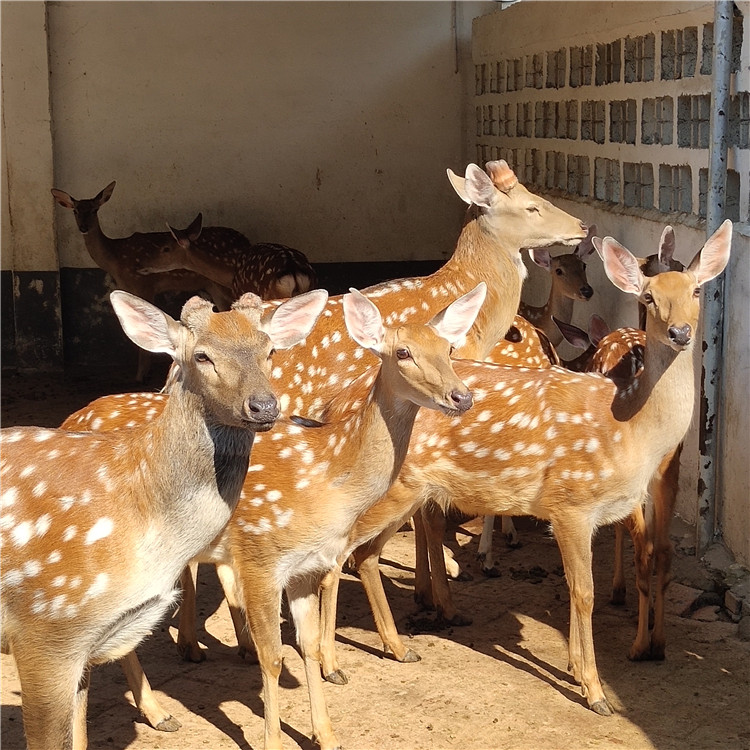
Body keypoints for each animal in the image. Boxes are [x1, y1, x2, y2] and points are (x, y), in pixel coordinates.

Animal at [50, 181, 232, 382]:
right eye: (75, 210)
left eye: (94, 209)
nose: (83, 227)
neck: (115, 259)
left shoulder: (144, 283)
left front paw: (140, 376)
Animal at [58, 284, 488, 748]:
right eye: (403, 352)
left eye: (449, 348)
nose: (462, 396)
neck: (328, 478)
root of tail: (71, 416)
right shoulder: (260, 558)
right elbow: (274, 658)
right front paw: (273, 738)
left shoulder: (305, 567)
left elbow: (309, 645)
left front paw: (327, 734)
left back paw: (159, 711)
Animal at [318, 219, 736, 716]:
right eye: (649, 296)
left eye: (697, 290)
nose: (680, 332)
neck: (631, 429)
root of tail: (335, 406)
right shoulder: (573, 502)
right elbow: (584, 592)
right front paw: (595, 691)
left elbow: (589, 584)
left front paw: (577, 669)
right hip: (382, 492)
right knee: (337, 556)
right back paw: (330, 665)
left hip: (409, 493)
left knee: (364, 555)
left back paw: (399, 647)